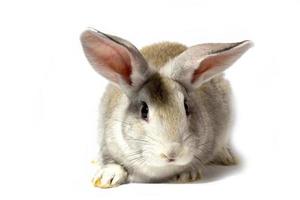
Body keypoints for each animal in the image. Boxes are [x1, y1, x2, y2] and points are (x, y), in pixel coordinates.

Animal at [80, 28, 253, 189]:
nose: (172, 153)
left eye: (186, 107)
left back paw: (226, 157)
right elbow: (110, 162)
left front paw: (187, 175)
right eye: (144, 110)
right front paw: (107, 177)